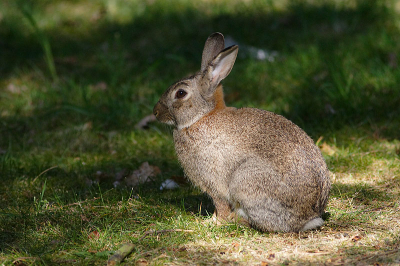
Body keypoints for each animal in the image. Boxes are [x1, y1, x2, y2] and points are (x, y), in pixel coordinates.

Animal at [153, 32, 332, 233]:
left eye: (181, 93)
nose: (155, 112)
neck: (201, 116)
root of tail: (309, 217)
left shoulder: (213, 182)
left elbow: (220, 204)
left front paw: (214, 222)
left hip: (245, 181)